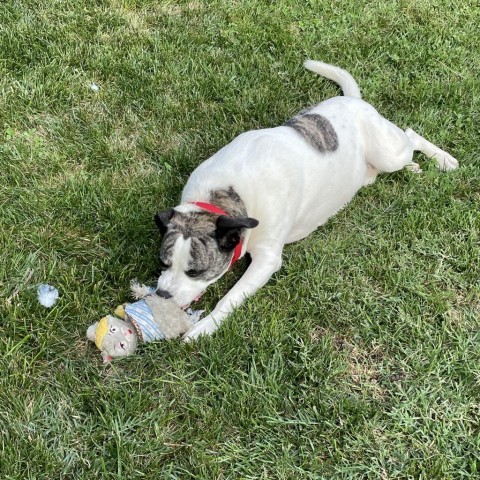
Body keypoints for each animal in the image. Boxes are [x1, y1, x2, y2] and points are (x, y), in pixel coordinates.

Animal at [154, 60, 458, 340]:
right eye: (163, 263)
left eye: (195, 271)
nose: (162, 295)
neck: (224, 196)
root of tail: (354, 101)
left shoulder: (267, 260)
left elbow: (231, 297)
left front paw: (205, 328)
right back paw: (414, 168)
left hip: (388, 152)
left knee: (411, 136)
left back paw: (443, 160)